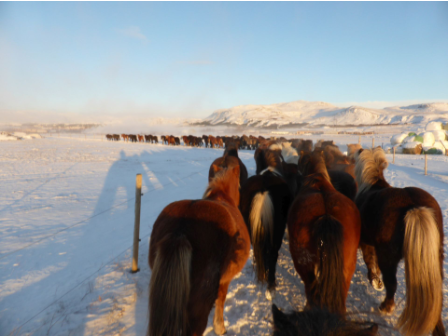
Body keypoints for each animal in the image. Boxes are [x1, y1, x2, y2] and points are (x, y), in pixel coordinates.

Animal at [354, 148, 444, 336]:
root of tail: (413, 207)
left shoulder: (367, 243)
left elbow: (370, 261)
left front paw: (375, 281)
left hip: (388, 258)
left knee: (391, 284)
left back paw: (385, 307)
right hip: (437, 256)